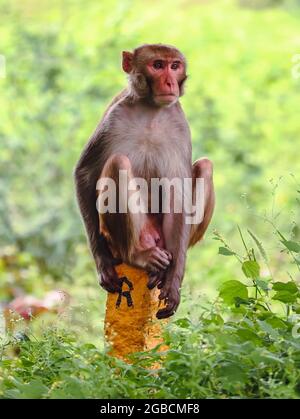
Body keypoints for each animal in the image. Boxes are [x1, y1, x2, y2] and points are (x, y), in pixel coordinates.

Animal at [75, 43, 216, 318]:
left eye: (175, 66)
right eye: (157, 65)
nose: (170, 82)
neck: (151, 111)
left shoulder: (180, 127)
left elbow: (178, 194)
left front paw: (173, 281)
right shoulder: (113, 119)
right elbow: (84, 174)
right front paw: (103, 263)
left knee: (205, 166)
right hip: (125, 235)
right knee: (118, 162)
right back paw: (137, 255)